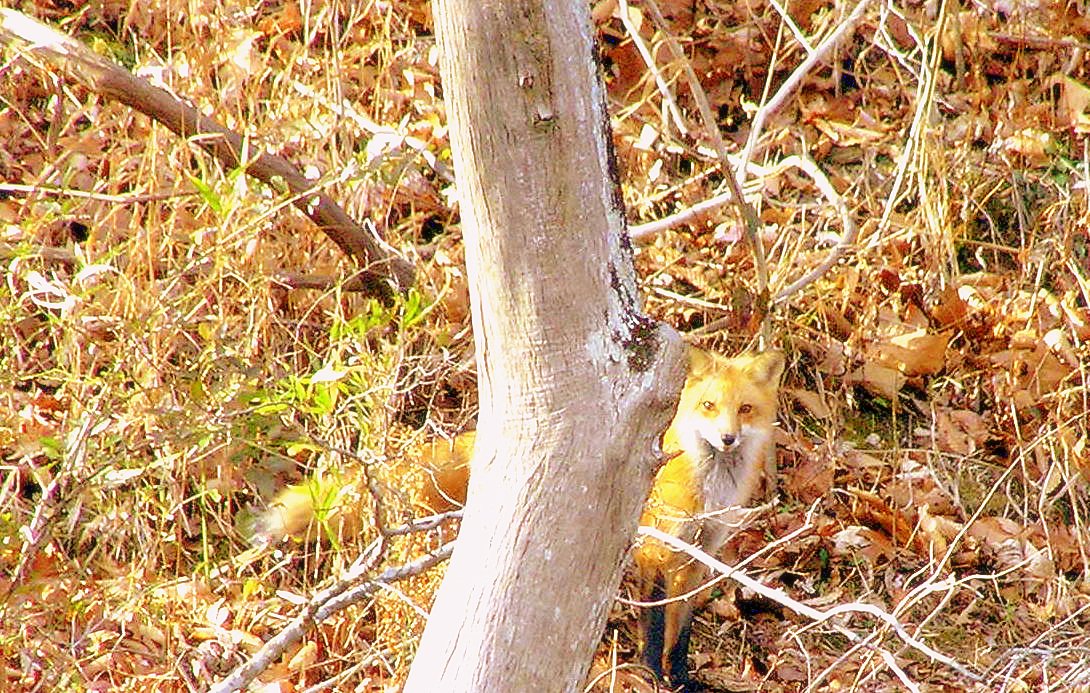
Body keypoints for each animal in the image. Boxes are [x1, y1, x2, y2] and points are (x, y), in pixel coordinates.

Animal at [255, 348, 784, 691]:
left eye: (745, 409)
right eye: (708, 406)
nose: (728, 438)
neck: (710, 488)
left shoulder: (700, 556)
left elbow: (683, 630)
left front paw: (684, 679)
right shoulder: (658, 551)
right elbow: (655, 629)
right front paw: (654, 677)